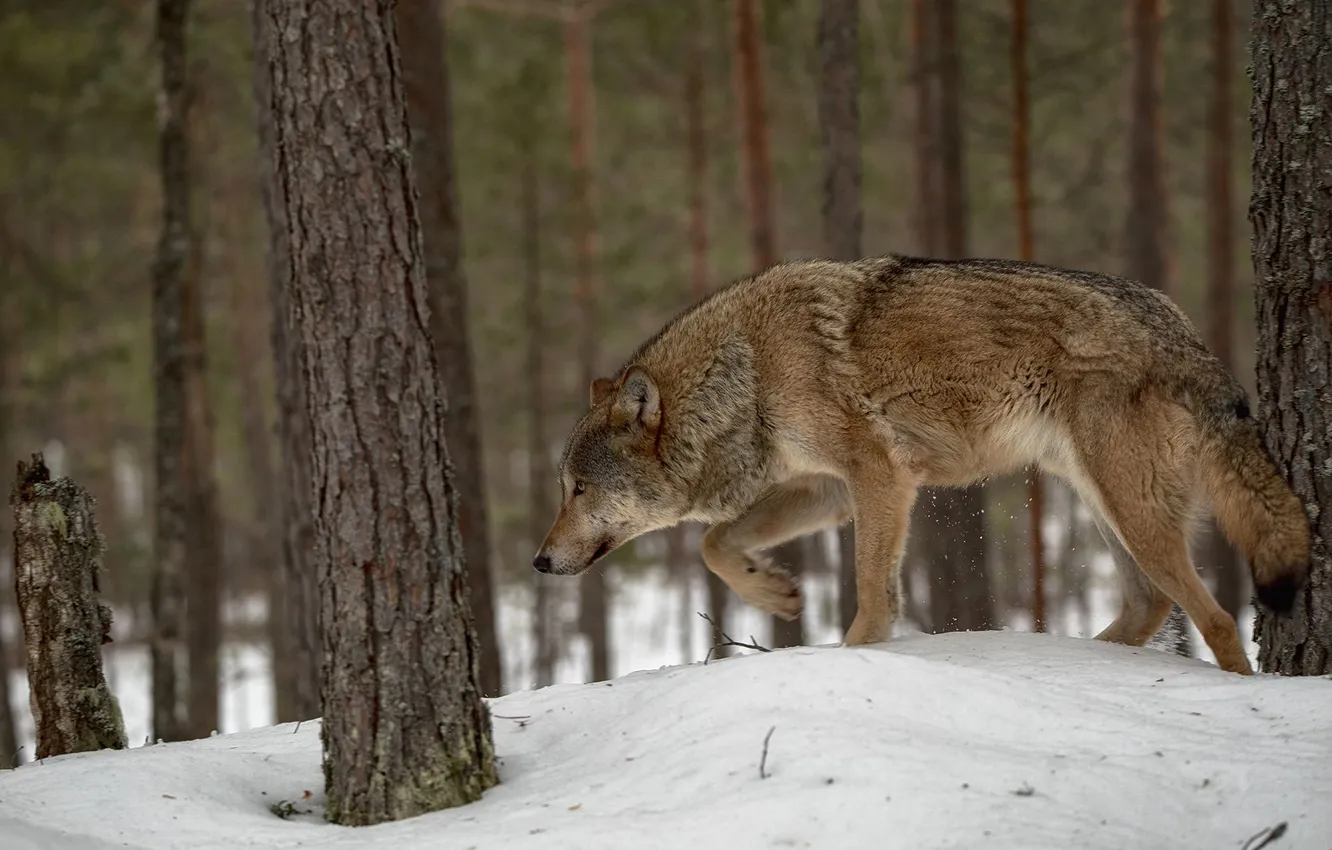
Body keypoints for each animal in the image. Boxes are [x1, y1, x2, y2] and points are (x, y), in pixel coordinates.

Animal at [532, 255, 1311, 675]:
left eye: (578, 488)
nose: (538, 561)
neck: (746, 370)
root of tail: (1183, 333)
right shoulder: (827, 486)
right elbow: (714, 542)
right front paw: (775, 594)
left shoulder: (880, 475)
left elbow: (874, 595)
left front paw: (855, 655)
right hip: (1102, 505)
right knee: (1150, 606)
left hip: (1130, 511)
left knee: (1216, 617)